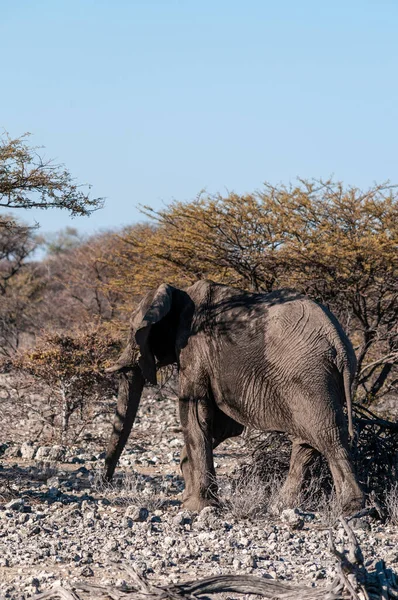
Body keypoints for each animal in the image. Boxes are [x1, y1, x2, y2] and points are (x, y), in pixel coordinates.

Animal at [103, 278, 364, 512]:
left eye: (134, 333)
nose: (106, 482)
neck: (179, 293)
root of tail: (338, 342)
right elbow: (221, 426)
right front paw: (190, 496)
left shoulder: (194, 348)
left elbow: (194, 411)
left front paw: (197, 507)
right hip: (320, 381)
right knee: (306, 442)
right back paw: (280, 507)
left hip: (310, 377)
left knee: (329, 437)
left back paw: (354, 511)